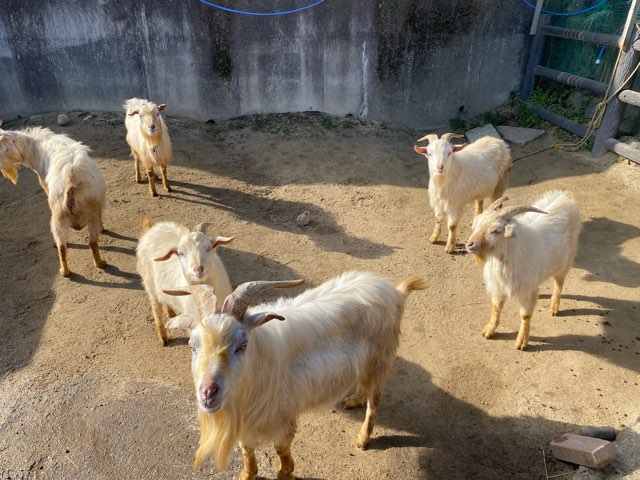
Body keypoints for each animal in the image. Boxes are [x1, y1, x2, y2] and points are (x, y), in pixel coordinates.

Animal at [0, 122, 106, 276]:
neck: (35, 147)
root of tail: (72, 179)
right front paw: (103, 229)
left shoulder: (43, 181)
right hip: (83, 214)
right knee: (88, 243)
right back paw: (96, 264)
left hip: (62, 217)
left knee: (64, 246)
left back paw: (66, 270)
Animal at [162, 272, 428, 478]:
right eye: (192, 346)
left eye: (243, 345)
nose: (208, 393)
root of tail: (393, 290)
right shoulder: (248, 417)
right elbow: (246, 448)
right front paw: (247, 474)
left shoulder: (282, 414)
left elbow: (282, 450)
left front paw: (285, 473)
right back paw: (354, 400)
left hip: (380, 358)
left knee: (375, 400)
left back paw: (363, 438)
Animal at [462, 189, 584, 350]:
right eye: (477, 224)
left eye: (496, 230)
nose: (469, 244)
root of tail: (564, 197)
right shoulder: (498, 287)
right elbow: (496, 308)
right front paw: (489, 330)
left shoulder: (526, 291)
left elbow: (525, 316)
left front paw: (522, 342)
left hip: (565, 261)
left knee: (559, 282)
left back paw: (554, 307)